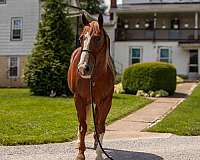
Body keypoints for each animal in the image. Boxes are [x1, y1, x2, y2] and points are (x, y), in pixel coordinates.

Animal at [67, 14, 115, 160]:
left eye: (98, 38)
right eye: (81, 38)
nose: (83, 68)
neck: (94, 77)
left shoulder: (105, 101)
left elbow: (100, 127)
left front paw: (99, 154)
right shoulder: (79, 99)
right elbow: (83, 126)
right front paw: (80, 154)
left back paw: (95, 143)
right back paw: (79, 142)